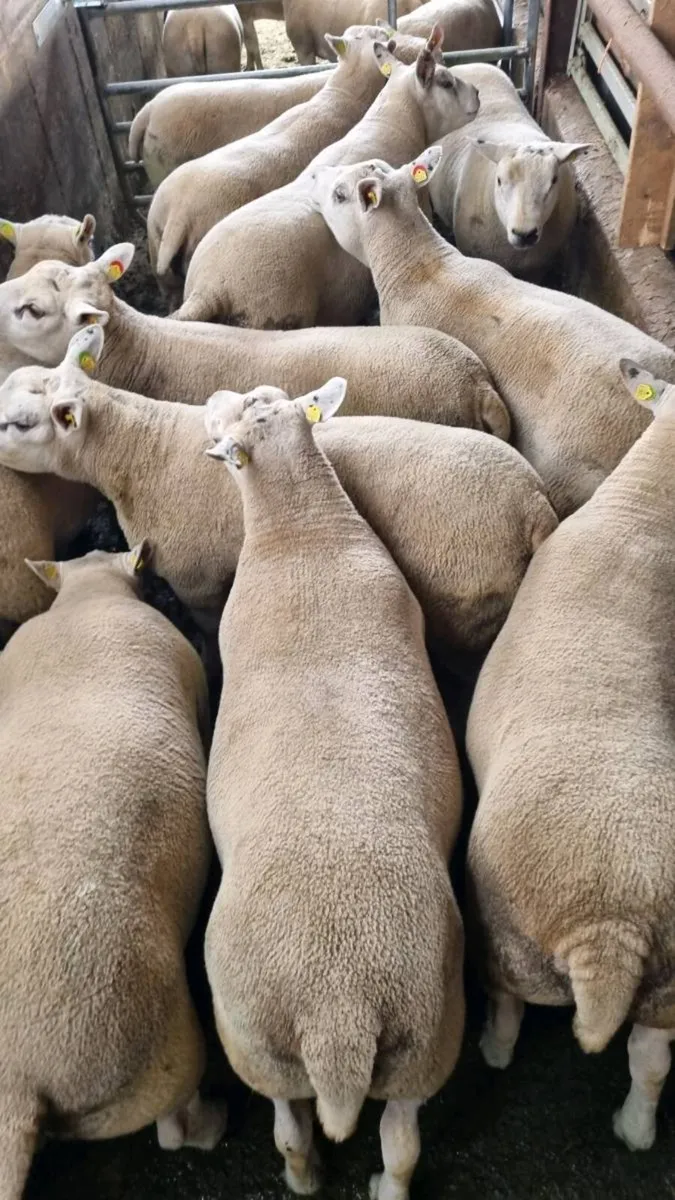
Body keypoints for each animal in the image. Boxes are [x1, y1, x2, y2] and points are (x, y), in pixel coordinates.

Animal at [0, 544, 227, 1199]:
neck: (86, 601)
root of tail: (18, 1088)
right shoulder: (191, 676)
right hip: (160, 1059)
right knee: (175, 1130)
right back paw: (213, 1121)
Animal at [204, 379, 465, 1198]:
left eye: (242, 412)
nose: (217, 396)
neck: (302, 536)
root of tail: (337, 1006)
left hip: (256, 1043)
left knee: (290, 1128)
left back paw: (308, 1176)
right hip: (421, 1040)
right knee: (402, 1143)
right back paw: (384, 1184)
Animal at [464, 367, 675, 1150]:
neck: (642, 514)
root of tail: (613, 930)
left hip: (512, 934)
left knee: (507, 1002)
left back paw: (493, 1051)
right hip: (669, 983)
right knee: (650, 1061)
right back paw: (635, 1130)